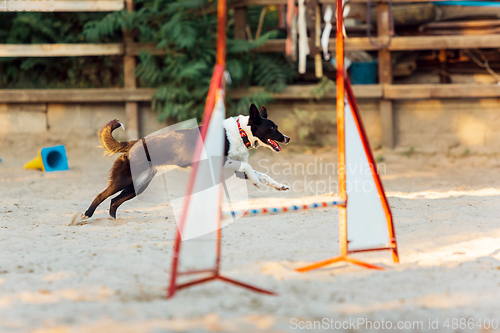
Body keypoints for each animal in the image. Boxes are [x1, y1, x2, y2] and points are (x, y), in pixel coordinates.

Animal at [77, 102, 290, 219]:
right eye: (272, 128)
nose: (287, 138)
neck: (239, 133)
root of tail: (134, 143)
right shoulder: (222, 162)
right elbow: (249, 166)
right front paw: (255, 181)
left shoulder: (234, 170)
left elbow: (262, 174)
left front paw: (279, 186)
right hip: (125, 180)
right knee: (102, 196)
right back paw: (83, 216)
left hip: (139, 184)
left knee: (114, 202)